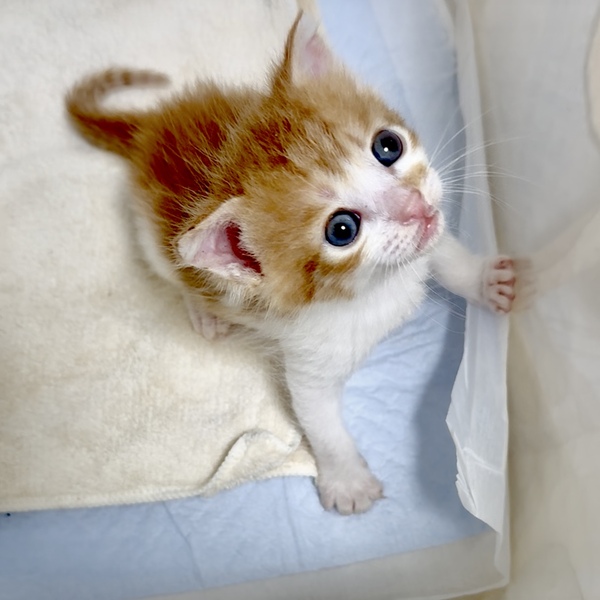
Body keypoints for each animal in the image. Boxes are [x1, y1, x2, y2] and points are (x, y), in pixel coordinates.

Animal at [66, 12, 517, 515]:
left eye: (388, 146)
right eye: (342, 229)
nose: (416, 206)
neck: (376, 287)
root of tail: (153, 125)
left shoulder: (423, 242)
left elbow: (446, 254)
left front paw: (485, 281)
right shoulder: (311, 356)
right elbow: (320, 421)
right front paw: (347, 481)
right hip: (157, 244)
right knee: (177, 272)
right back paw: (203, 310)